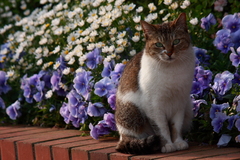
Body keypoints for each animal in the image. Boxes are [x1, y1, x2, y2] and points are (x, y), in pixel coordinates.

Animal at [115, 13, 196, 154]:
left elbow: (176, 126)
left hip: (188, 108)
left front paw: (178, 142)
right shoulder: (154, 106)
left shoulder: (180, 103)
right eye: (159, 44)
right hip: (133, 112)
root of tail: (121, 137)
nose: (169, 53)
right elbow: (162, 129)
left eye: (176, 41)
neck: (171, 70)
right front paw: (167, 144)